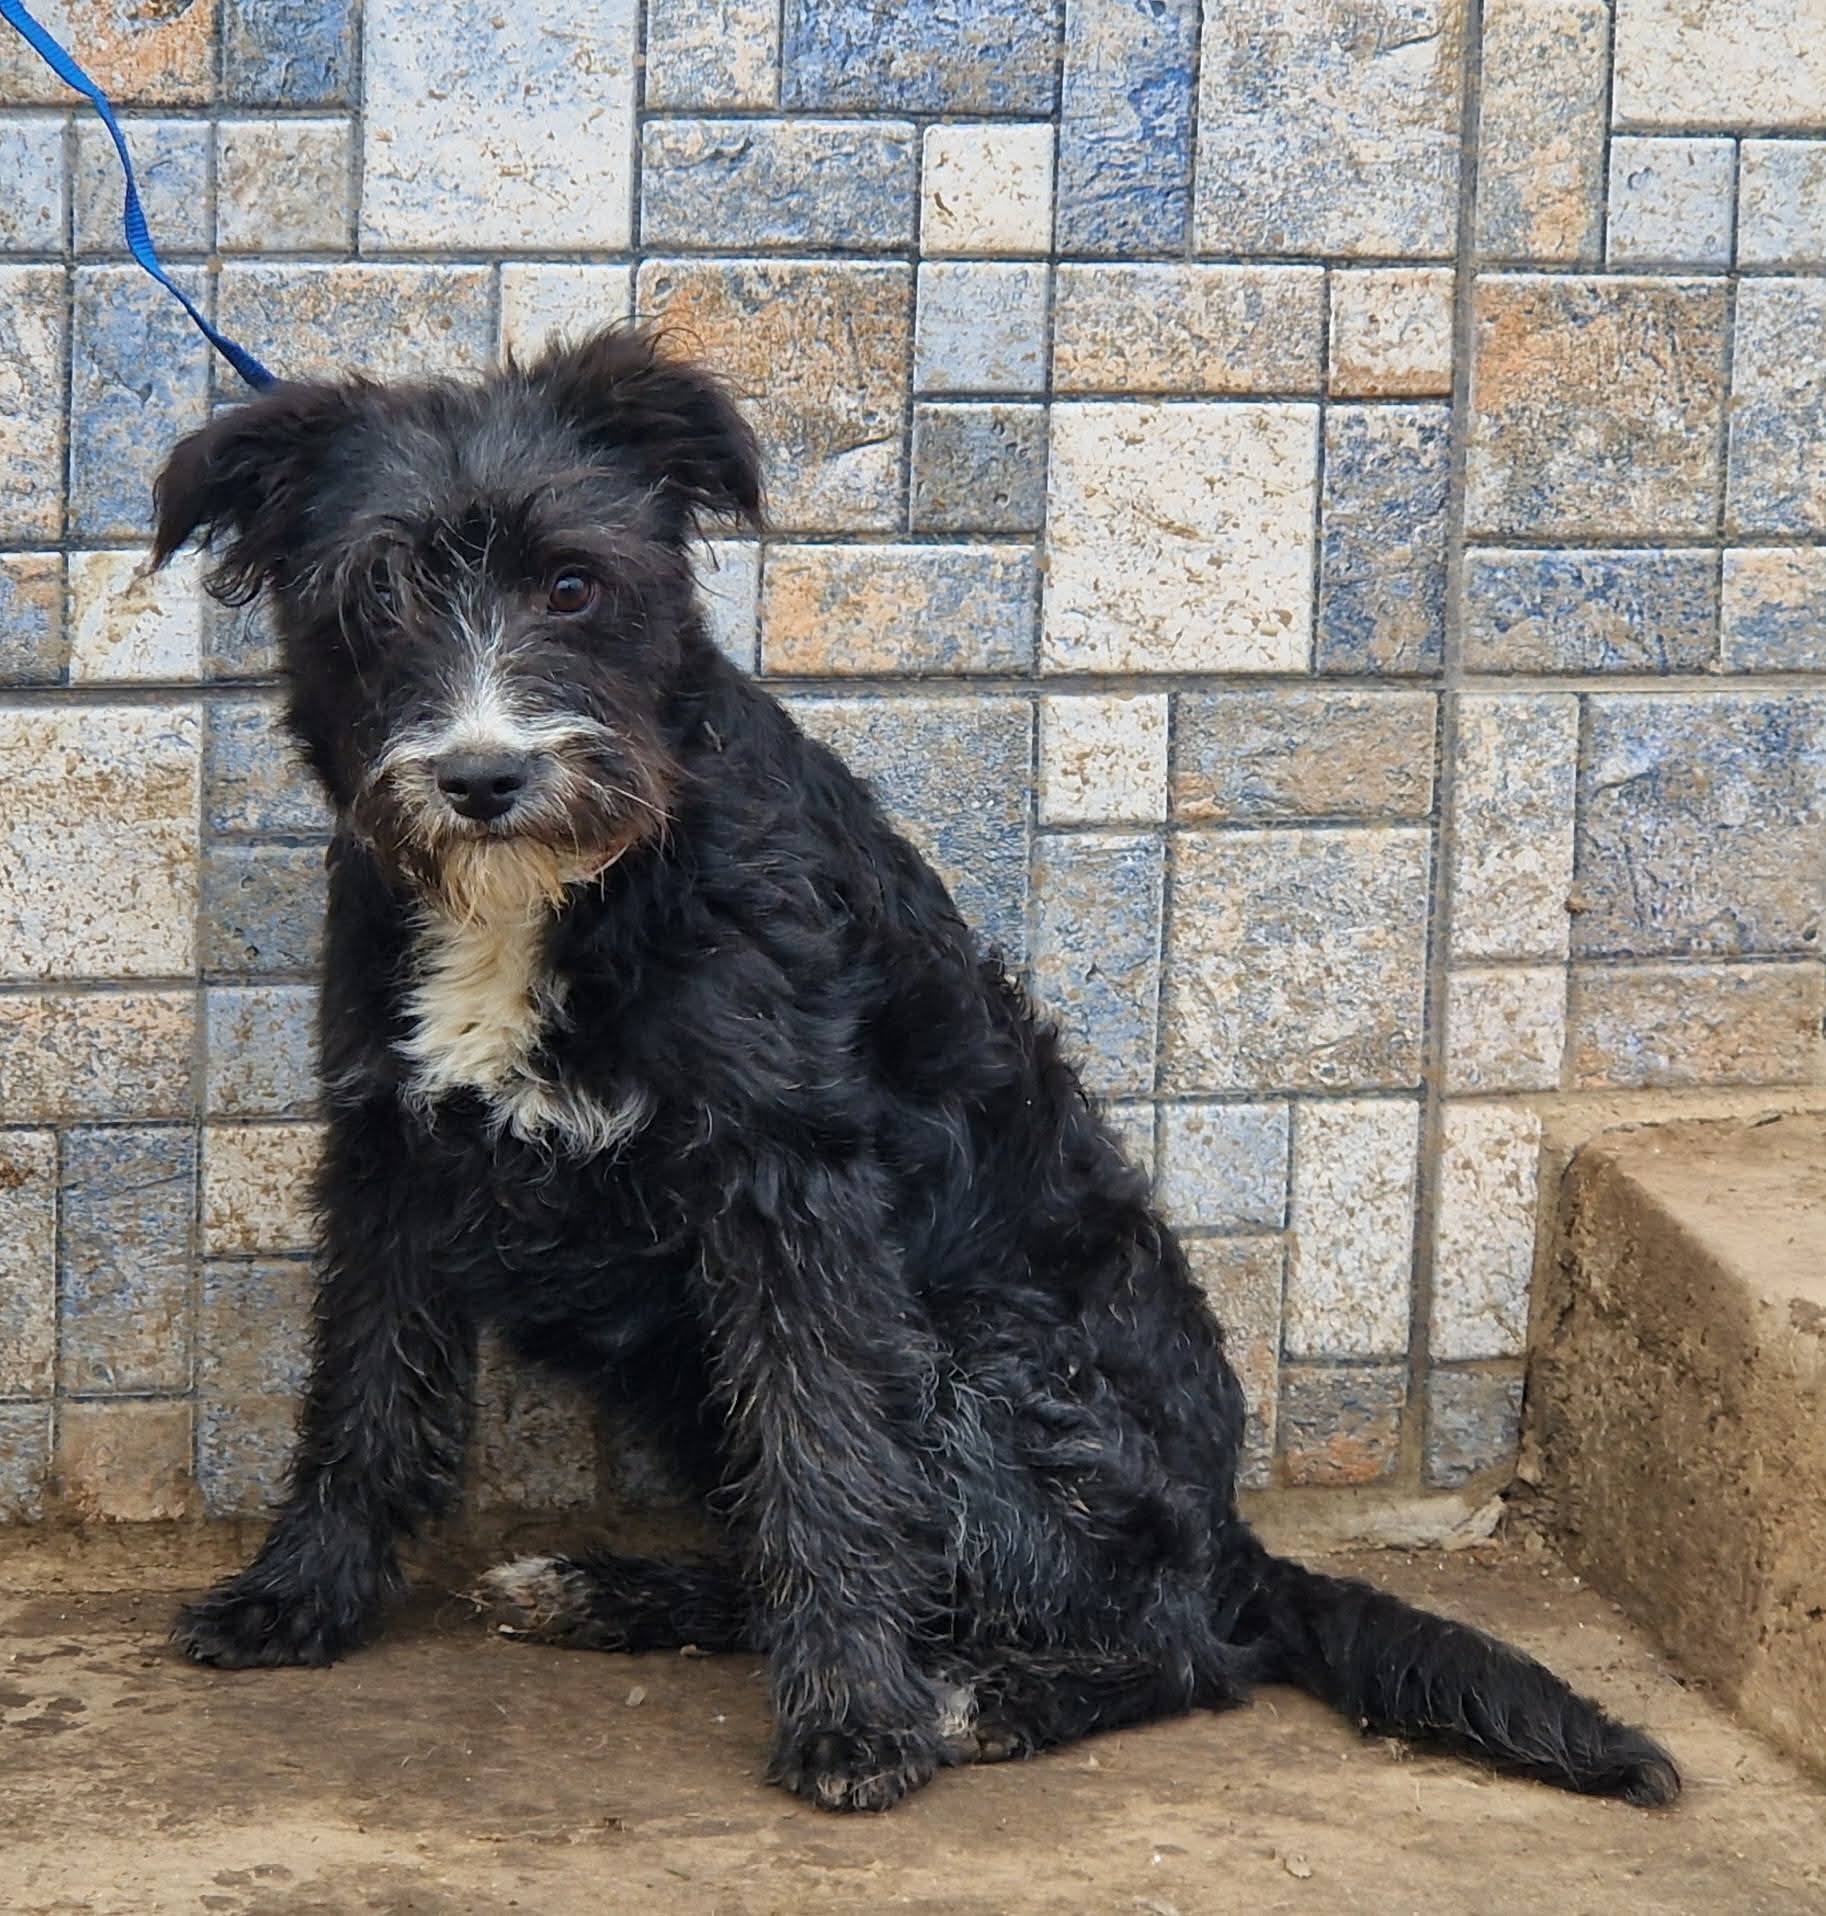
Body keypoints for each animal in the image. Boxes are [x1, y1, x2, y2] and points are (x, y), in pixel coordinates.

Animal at [150, 327, 1678, 1814]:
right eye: (379, 596)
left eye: (575, 583)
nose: (482, 777)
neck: (555, 900)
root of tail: (1234, 1537)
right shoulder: (392, 1157)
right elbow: (364, 1393)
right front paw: (297, 1596)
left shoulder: (793, 1185)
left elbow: (829, 1458)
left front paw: (853, 1722)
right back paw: (619, 1590)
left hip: (983, 1362)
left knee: (1178, 1644)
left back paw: (975, 1699)